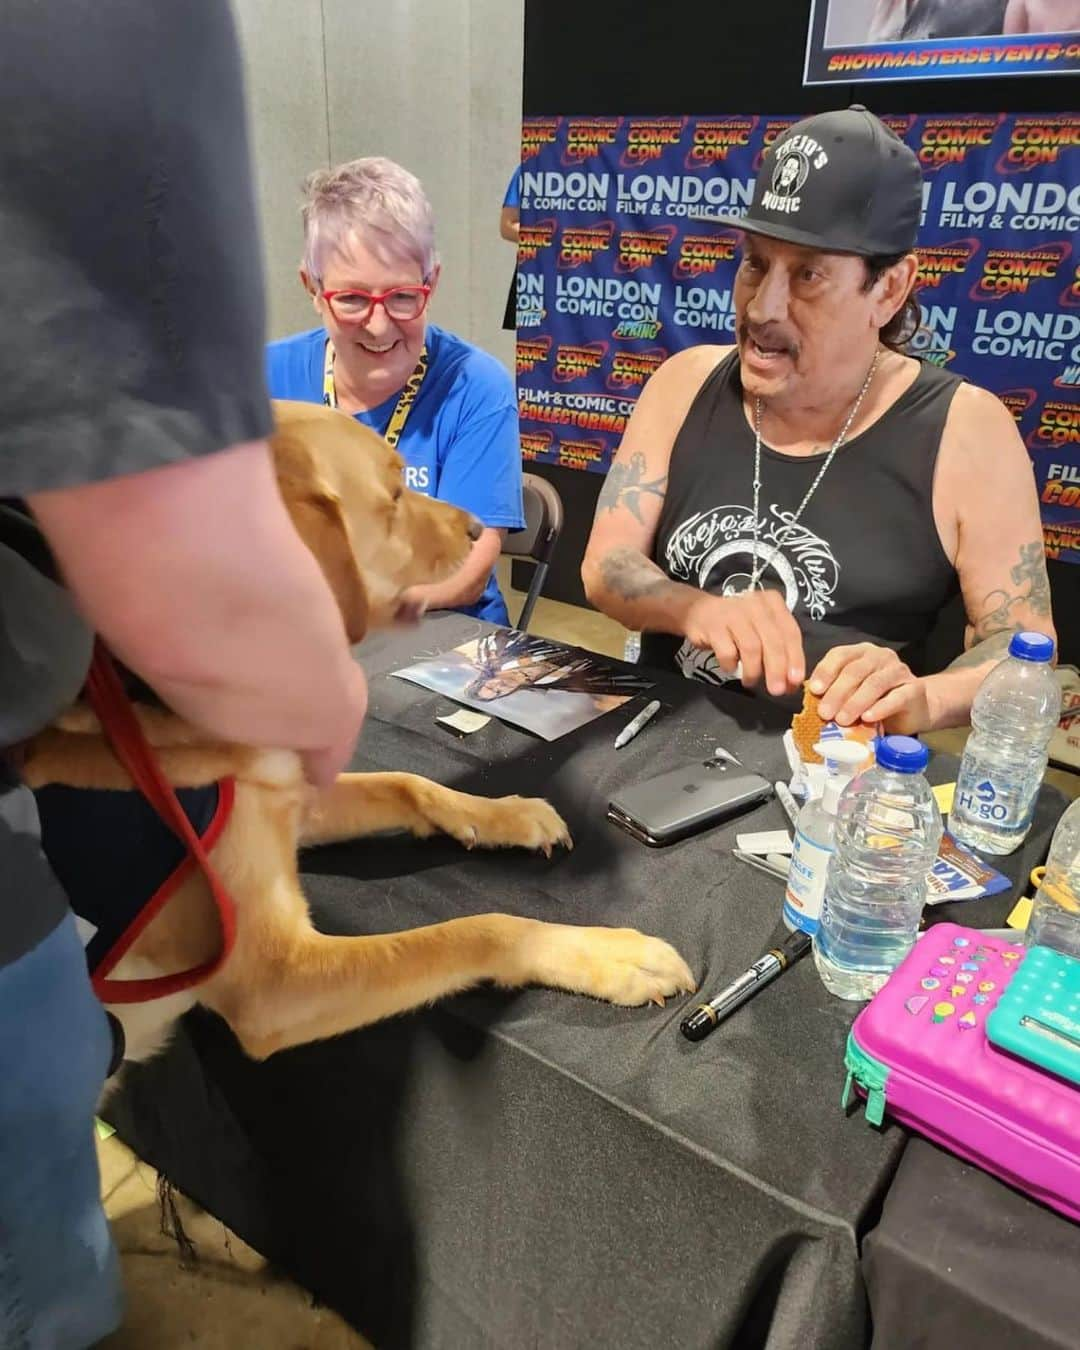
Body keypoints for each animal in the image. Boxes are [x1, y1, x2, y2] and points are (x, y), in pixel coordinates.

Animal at [27, 394, 702, 1069]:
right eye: (393, 493)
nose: (479, 529)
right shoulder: (275, 981)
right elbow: (477, 929)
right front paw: (606, 954)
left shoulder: (294, 800)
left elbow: (408, 783)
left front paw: (505, 813)